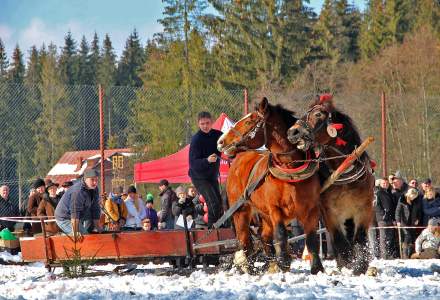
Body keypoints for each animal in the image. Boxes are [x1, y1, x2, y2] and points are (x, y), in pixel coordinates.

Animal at [217, 98, 324, 274]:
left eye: (249, 121)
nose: (220, 141)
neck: (290, 170)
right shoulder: (275, 209)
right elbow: (281, 234)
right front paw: (284, 262)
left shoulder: (311, 209)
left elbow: (311, 238)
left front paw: (317, 268)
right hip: (241, 212)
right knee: (245, 242)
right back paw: (251, 268)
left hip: (263, 215)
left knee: (264, 237)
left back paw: (269, 262)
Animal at [288, 96, 374, 274]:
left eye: (318, 114)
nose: (293, 132)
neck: (343, 171)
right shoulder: (329, 213)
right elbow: (340, 240)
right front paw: (346, 264)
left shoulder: (365, 209)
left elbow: (360, 238)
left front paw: (360, 267)